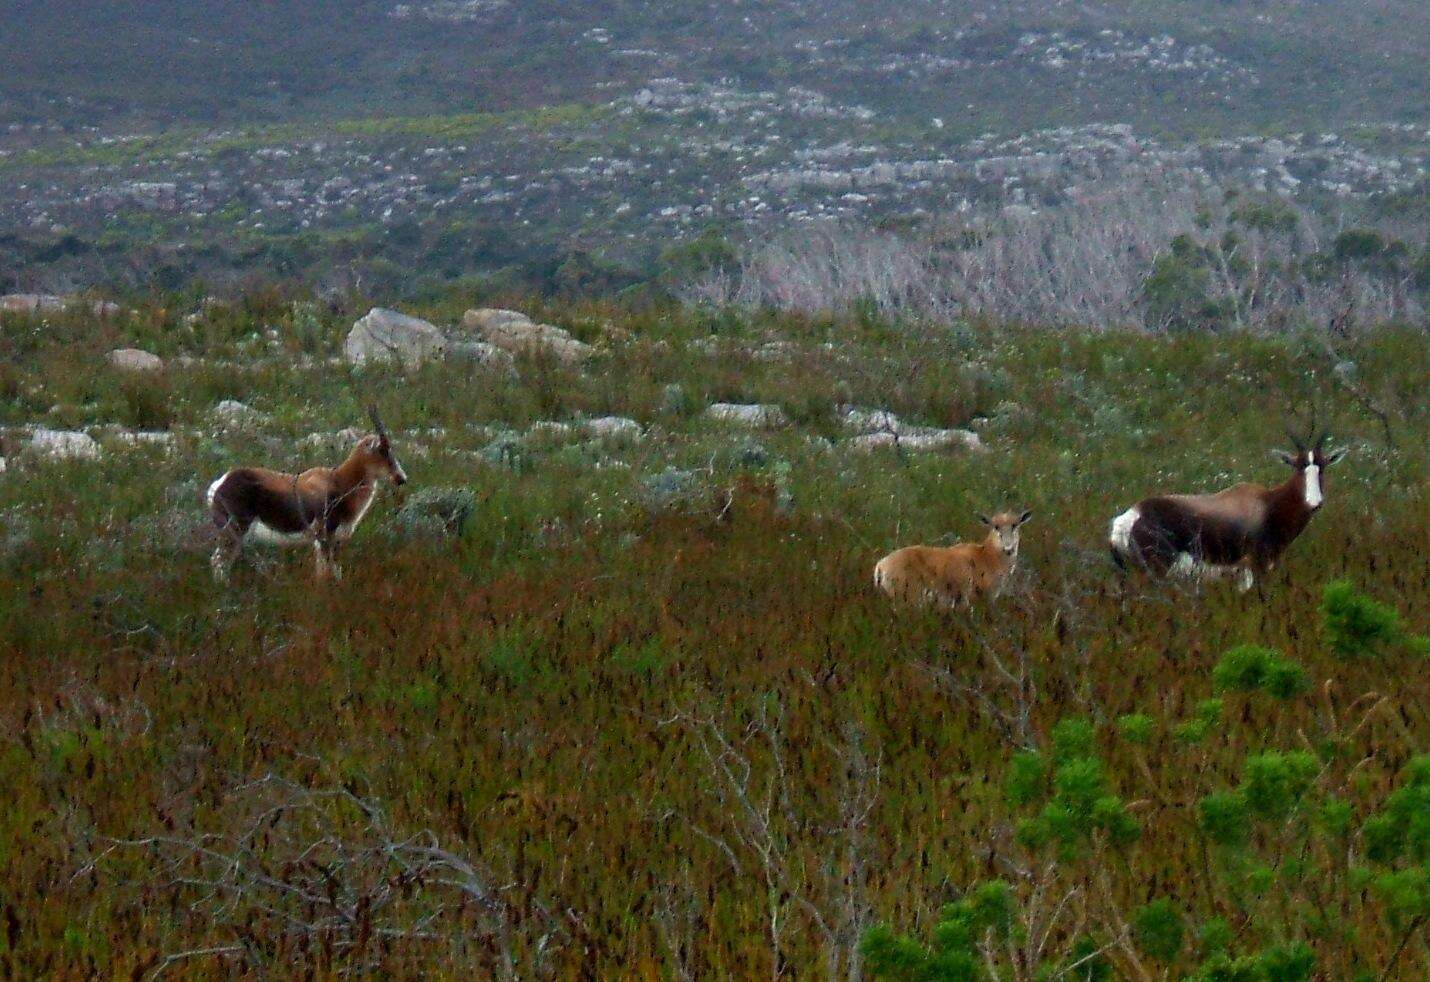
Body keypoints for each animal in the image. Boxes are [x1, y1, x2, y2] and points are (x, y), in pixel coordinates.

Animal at [201, 408, 406, 583]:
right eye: (382, 449)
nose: (401, 478)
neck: (338, 480)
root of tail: (220, 484)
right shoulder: (325, 538)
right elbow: (327, 573)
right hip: (234, 531)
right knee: (218, 561)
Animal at [869, 511, 1029, 611]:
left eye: (1015, 525)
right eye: (996, 527)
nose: (1008, 548)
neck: (987, 556)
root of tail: (880, 566)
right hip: (907, 598)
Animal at [1103, 423, 1349, 591]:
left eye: (1322, 467)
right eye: (1298, 467)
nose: (1315, 502)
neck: (1267, 504)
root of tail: (1129, 518)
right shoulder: (1256, 565)